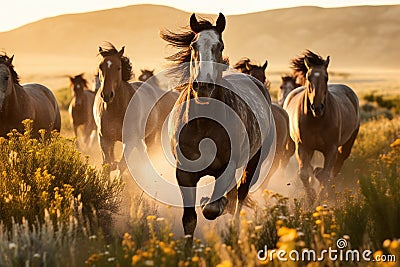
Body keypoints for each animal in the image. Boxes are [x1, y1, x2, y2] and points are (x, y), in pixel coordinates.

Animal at [159, 13, 276, 246]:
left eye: (220, 46)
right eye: (194, 45)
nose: (203, 86)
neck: (204, 124)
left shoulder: (227, 168)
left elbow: (212, 208)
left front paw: (213, 202)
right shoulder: (184, 173)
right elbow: (189, 219)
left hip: (254, 161)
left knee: (241, 194)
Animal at [282, 49, 360, 201]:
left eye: (326, 77)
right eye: (308, 77)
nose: (317, 107)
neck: (316, 120)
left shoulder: (331, 149)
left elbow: (325, 175)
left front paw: (321, 198)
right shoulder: (302, 146)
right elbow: (304, 173)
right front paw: (311, 197)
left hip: (347, 144)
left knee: (336, 167)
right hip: (294, 144)